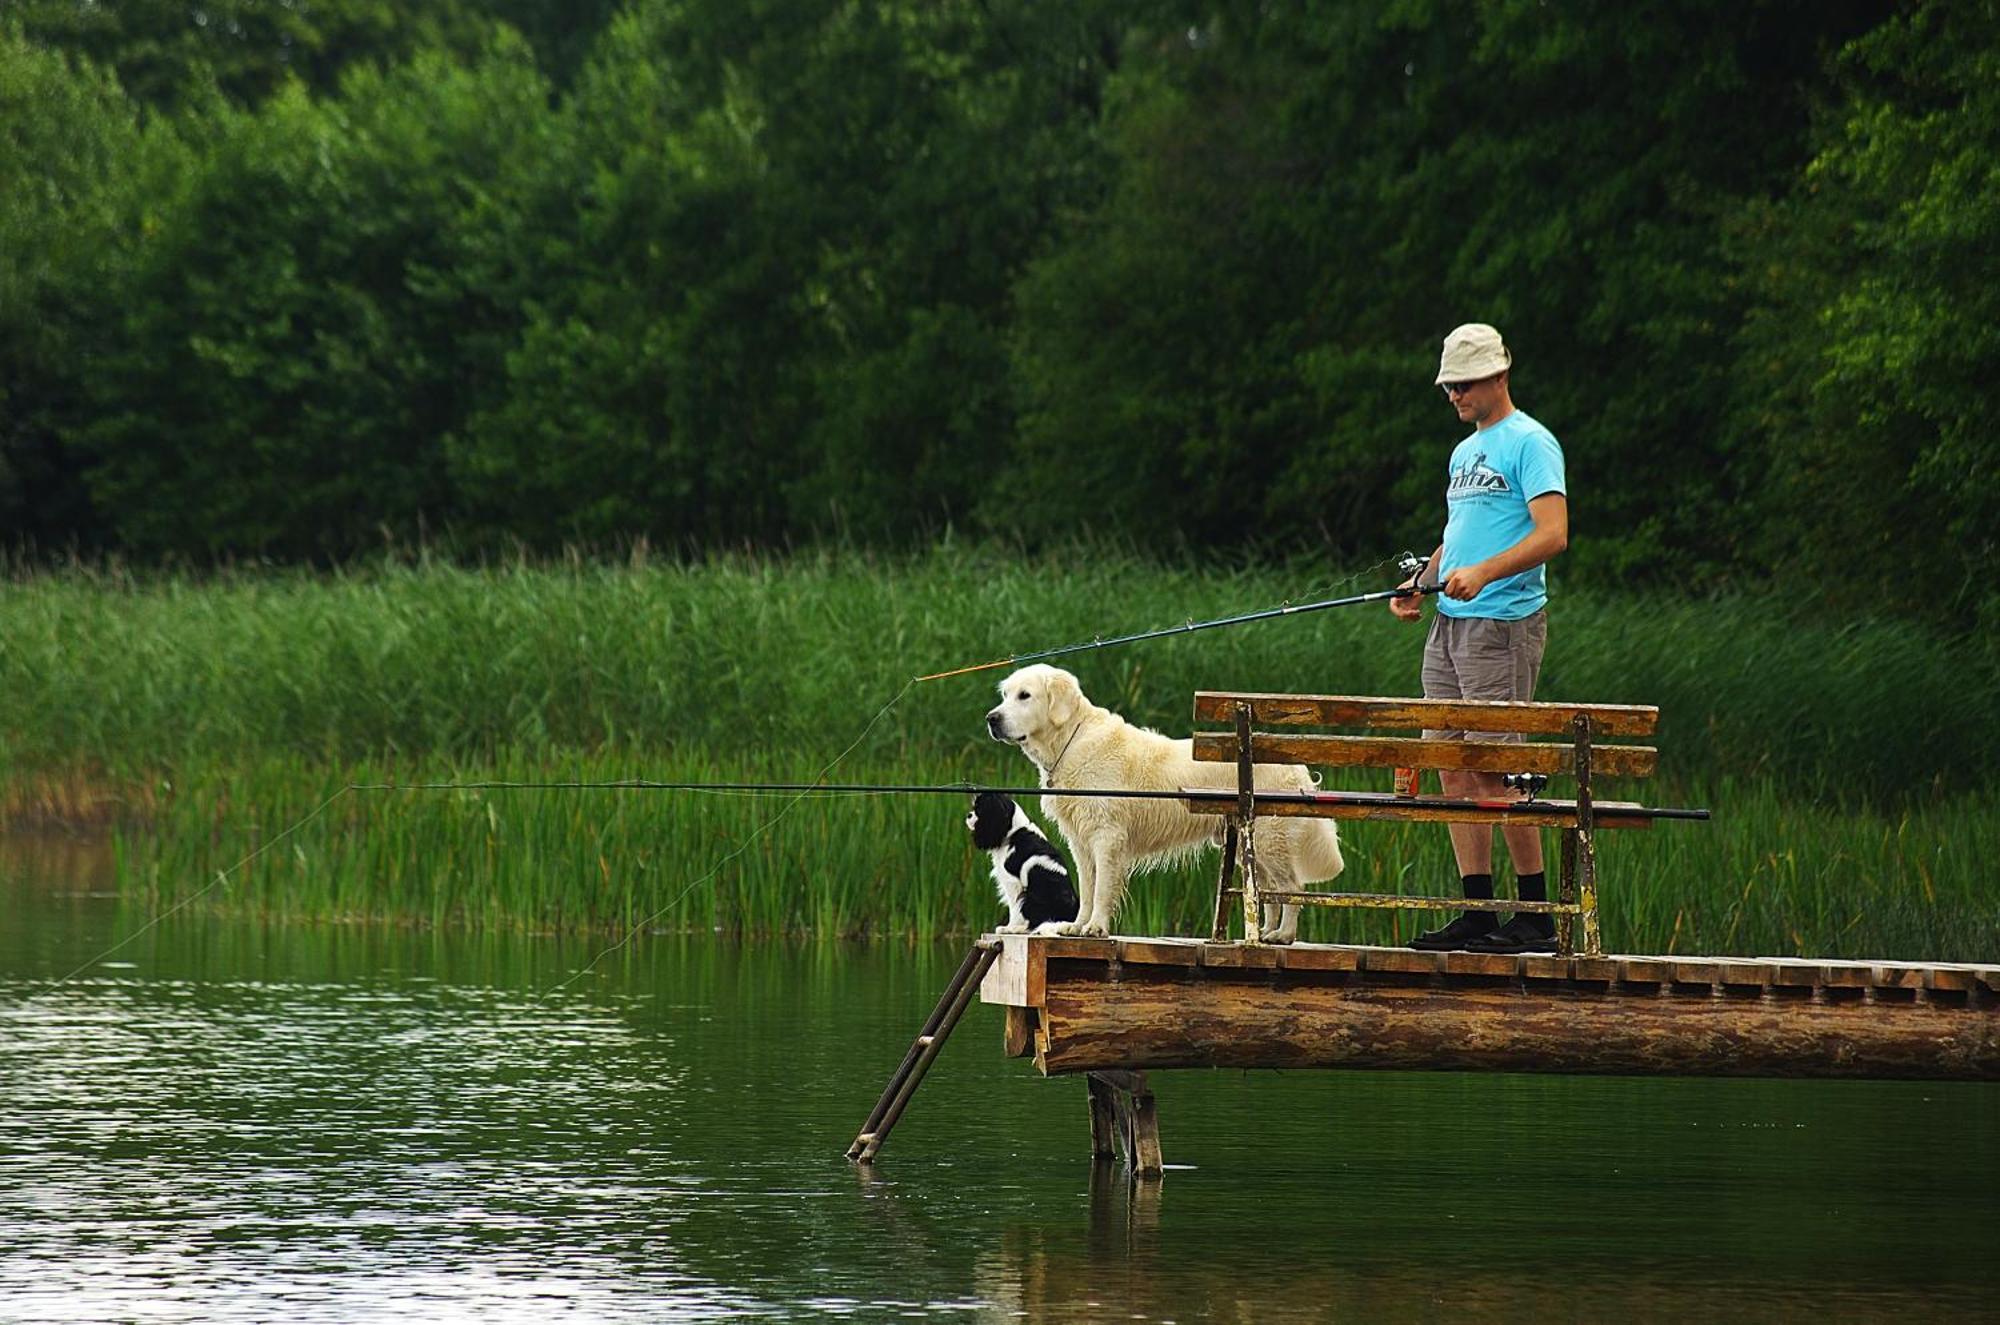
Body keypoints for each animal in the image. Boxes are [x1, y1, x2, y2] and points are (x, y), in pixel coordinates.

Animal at [964, 792, 1080, 940]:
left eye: (979, 809)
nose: (969, 815)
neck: (1013, 832)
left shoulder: (1013, 883)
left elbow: (1014, 908)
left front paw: (1009, 928)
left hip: (1030, 896)